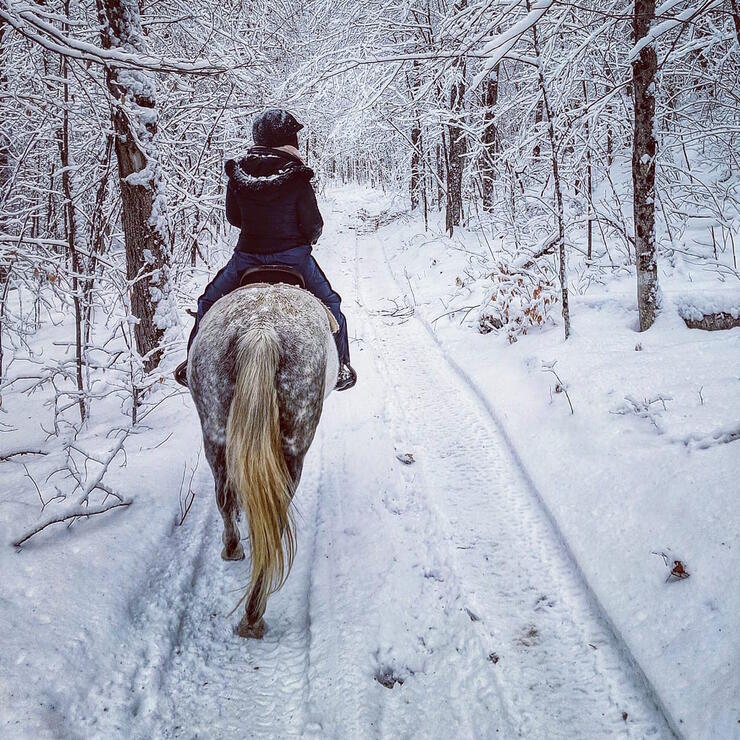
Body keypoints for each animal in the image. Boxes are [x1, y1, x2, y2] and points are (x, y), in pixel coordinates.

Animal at [191, 282, 342, 636]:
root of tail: (261, 331)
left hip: (215, 433)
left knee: (225, 496)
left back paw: (232, 549)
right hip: (293, 447)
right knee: (273, 518)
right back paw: (253, 615)